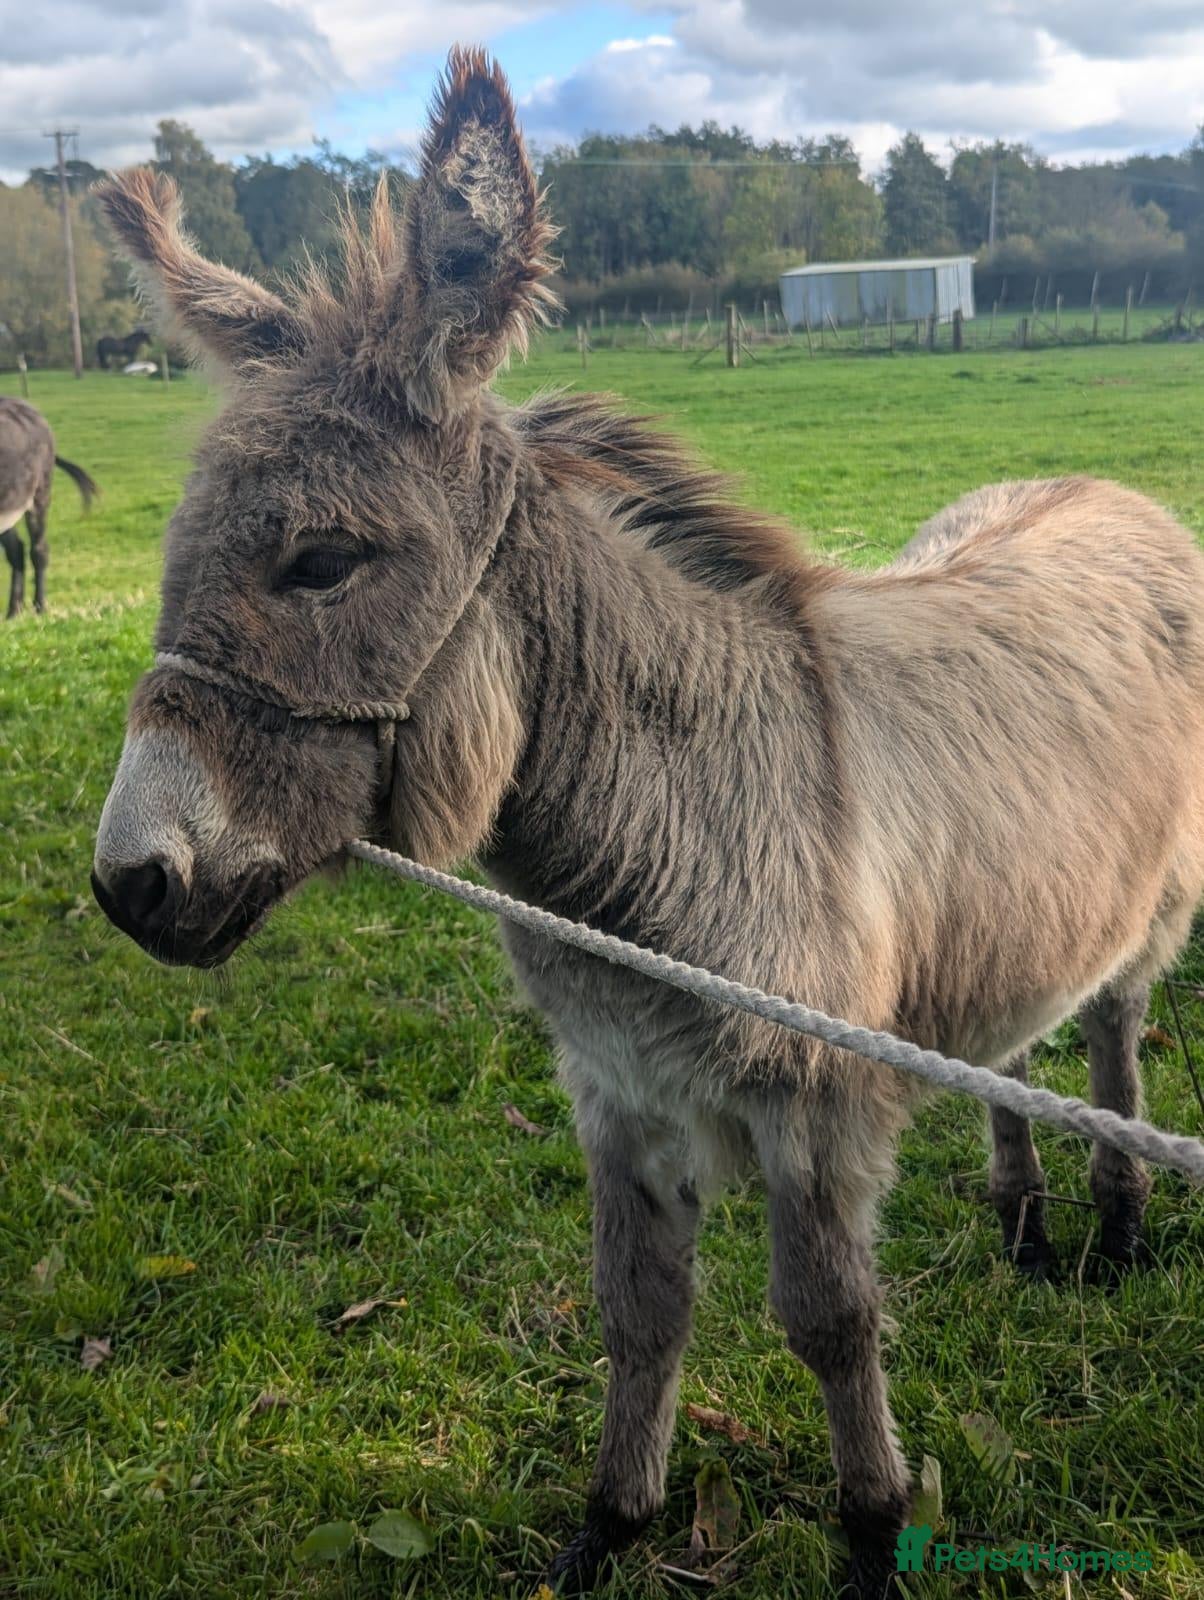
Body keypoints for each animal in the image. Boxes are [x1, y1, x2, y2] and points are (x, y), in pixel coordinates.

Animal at [90, 49, 1204, 1598]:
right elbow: (637, 1315)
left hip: (1147, 918)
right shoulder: (615, 1096)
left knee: (1110, 1034)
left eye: (321, 562)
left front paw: (874, 1531)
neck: (642, 854)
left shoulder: (813, 1110)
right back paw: (1028, 1225)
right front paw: (610, 1529)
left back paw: (1114, 1222)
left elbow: (829, 1322)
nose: (127, 884)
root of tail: (1107, 490)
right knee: (1019, 1039)